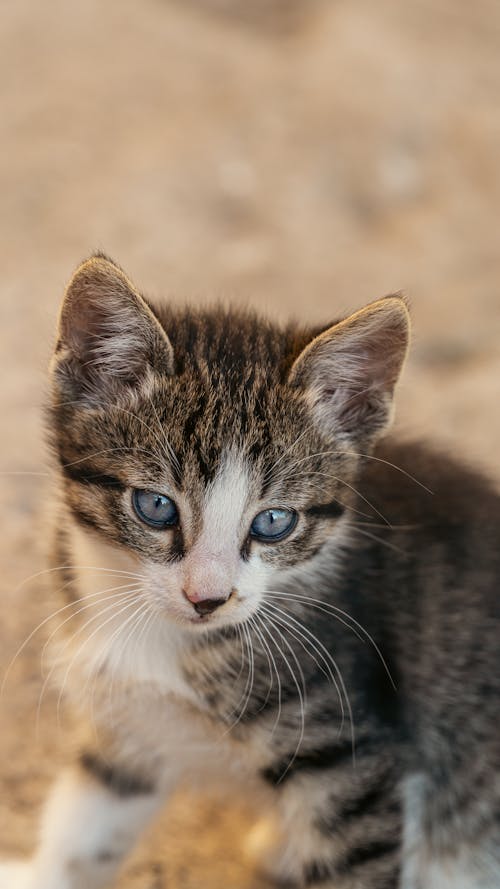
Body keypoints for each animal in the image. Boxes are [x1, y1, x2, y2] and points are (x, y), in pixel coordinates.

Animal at [0, 251, 500, 888]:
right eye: (155, 505)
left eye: (274, 522)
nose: (206, 598)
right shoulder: (128, 727)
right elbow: (90, 818)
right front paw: (47, 873)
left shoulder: (349, 755)